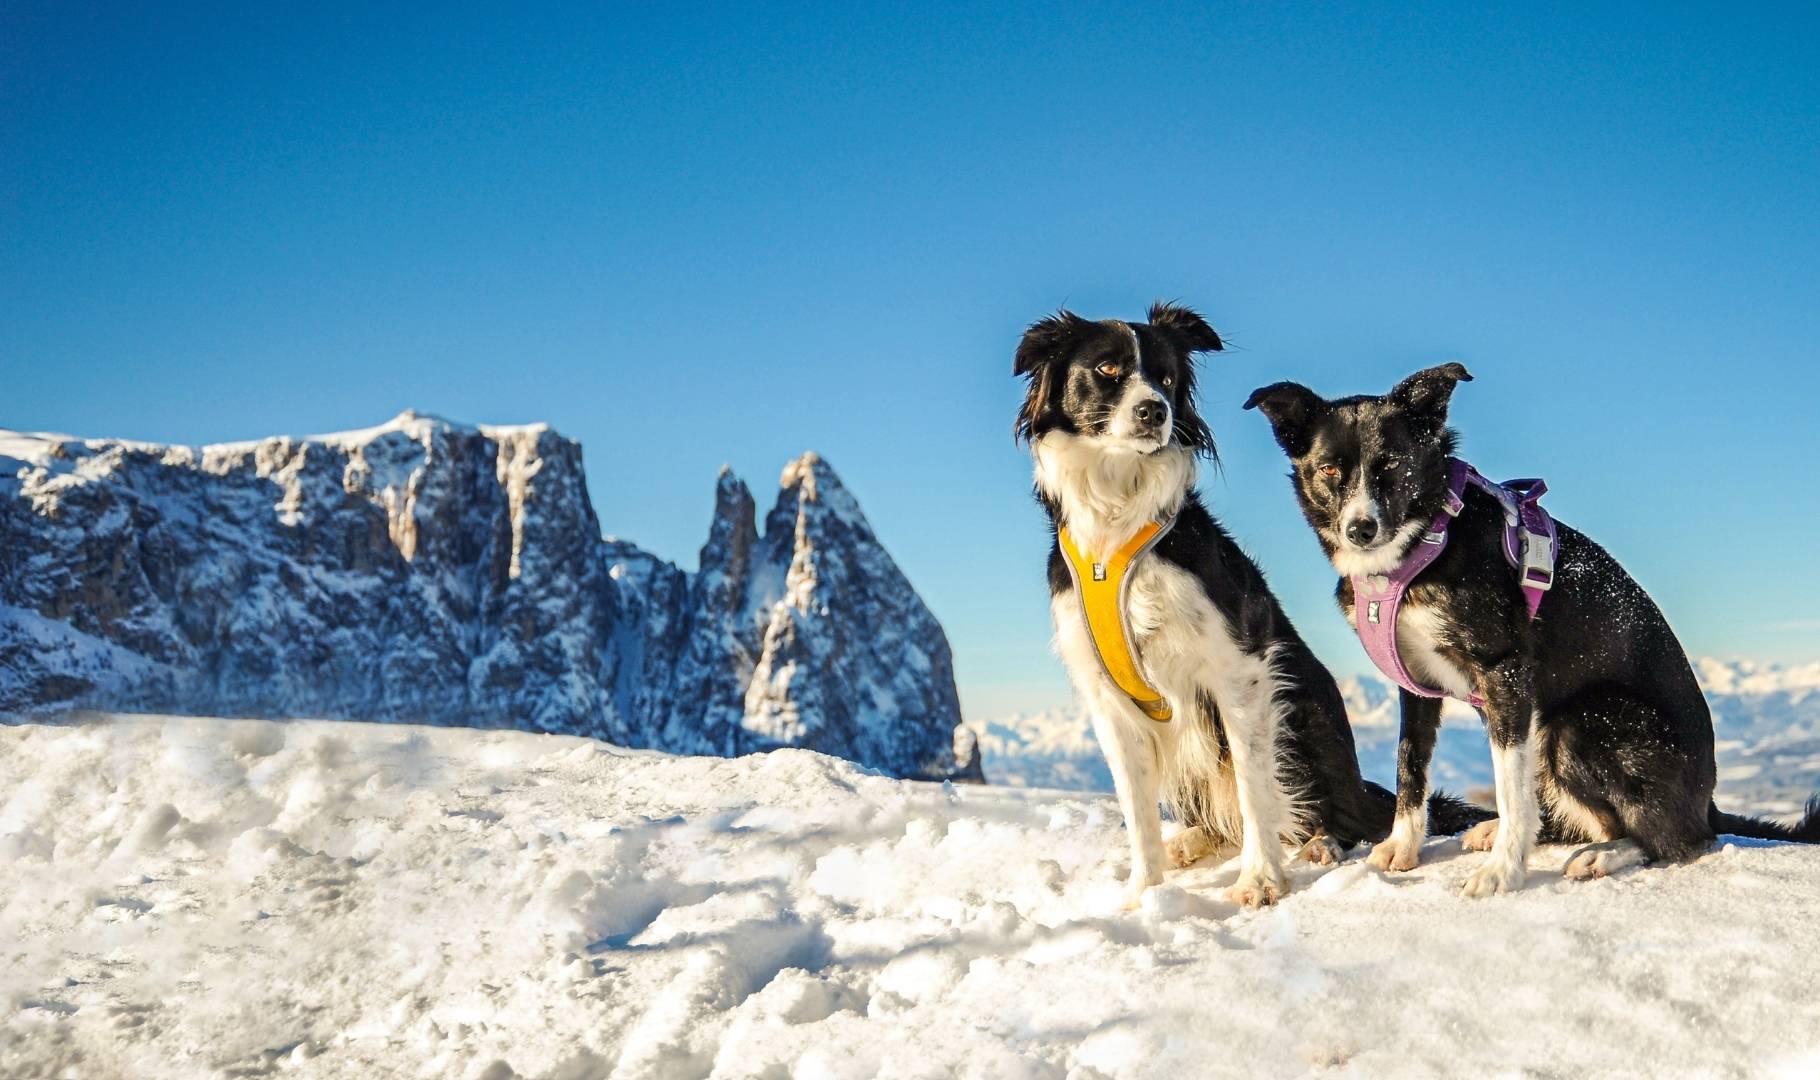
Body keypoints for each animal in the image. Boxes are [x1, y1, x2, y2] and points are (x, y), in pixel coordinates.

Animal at [1019, 307, 1485, 906]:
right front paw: (1144, 895)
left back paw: (1318, 844)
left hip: (1302, 713)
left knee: (1337, 817)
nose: (1155, 410)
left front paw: (1259, 879)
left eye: (1166, 378)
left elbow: (1253, 784)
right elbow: (1137, 810)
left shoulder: (1239, 668)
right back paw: (1189, 842)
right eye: (1107, 369)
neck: (1117, 528)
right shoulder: (1109, 698)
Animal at [1244, 366, 1812, 896]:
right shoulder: (1416, 686)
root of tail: (1708, 798)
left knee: (1680, 839)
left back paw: (1605, 854)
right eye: (1330, 469)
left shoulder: (1505, 672)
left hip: (1577, 722)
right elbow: (1411, 768)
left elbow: (1510, 787)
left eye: (1392, 466)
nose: (1360, 529)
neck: (1428, 543)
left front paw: (1503, 873)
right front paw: (1403, 847)